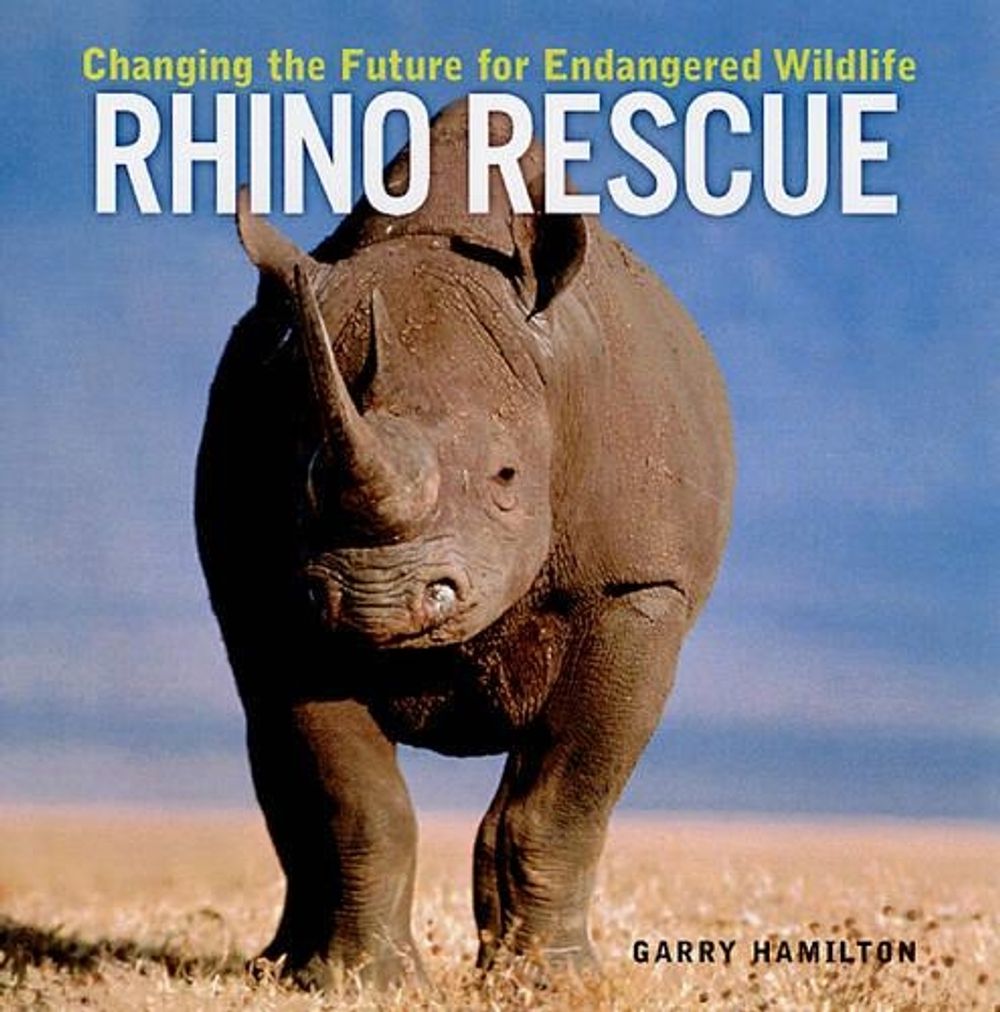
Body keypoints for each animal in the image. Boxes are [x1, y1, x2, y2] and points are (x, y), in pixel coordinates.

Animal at [195, 98, 733, 988]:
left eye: (508, 476)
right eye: (298, 480)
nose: (377, 600)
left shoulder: (636, 585)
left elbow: (563, 797)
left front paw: (550, 983)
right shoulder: (278, 595)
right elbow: (353, 798)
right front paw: (362, 985)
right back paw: (276, 967)